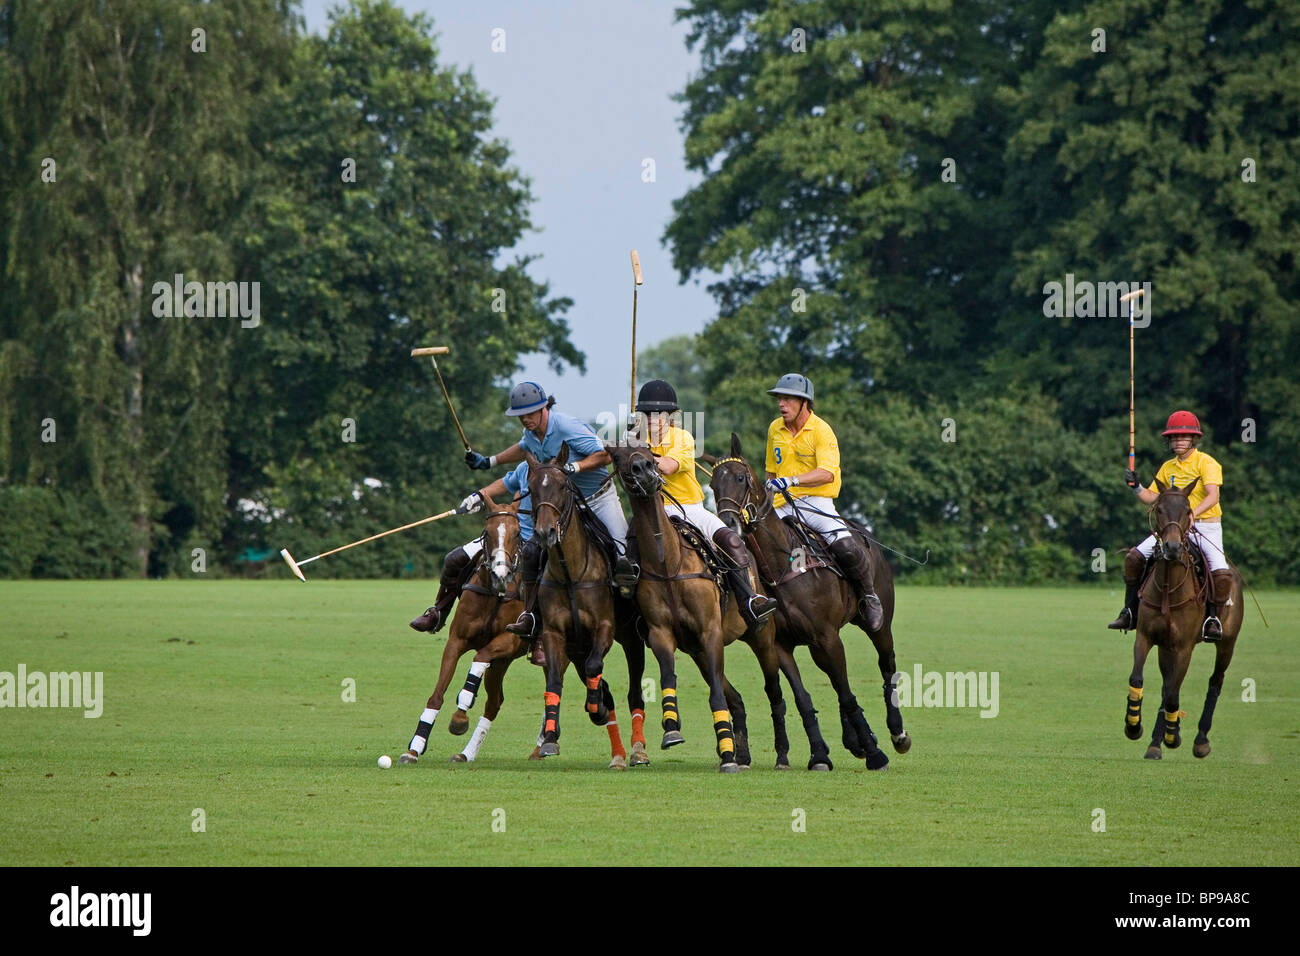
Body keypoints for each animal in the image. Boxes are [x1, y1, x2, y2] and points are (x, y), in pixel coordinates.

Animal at [400, 504, 533, 764]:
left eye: (517, 534)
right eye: (488, 532)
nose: (501, 576)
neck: (495, 594)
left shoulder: (511, 640)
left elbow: (479, 658)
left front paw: (460, 715)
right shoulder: (456, 641)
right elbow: (437, 694)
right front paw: (414, 748)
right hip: (501, 663)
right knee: (494, 702)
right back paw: (466, 754)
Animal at [525, 447, 650, 770]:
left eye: (562, 486)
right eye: (531, 488)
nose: (544, 533)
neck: (570, 572)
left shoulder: (603, 628)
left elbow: (597, 669)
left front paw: (596, 707)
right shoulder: (556, 634)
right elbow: (555, 681)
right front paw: (550, 739)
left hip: (631, 639)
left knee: (634, 694)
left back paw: (637, 750)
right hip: (576, 648)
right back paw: (617, 751)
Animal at [605, 437, 790, 775]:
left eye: (649, 455)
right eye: (619, 457)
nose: (646, 471)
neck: (668, 562)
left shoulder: (710, 631)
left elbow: (716, 694)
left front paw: (727, 756)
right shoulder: (662, 633)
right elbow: (668, 675)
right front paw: (672, 729)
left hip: (762, 637)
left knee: (774, 692)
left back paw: (780, 755)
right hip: (698, 652)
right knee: (736, 698)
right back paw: (741, 754)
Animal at [712, 434, 904, 770]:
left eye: (740, 478)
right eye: (712, 484)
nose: (728, 522)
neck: (781, 567)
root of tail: (861, 531)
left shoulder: (825, 636)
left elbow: (846, 693)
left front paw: (874, 753)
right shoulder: (782, 644)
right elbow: (805, 697)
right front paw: (820, 755)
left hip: (877, 624)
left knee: (886, 666)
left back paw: (896, 733)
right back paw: (854, 740)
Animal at [1123, 481, 1242, 759]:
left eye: (1188, 510)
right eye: (1159, 509)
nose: (1173, 547)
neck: (1168, 587)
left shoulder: (1184, 647)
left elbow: (1173, 693)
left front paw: (1173, 735)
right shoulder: (1146, 636)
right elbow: (1138, 678)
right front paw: (1134, 726)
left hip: (1227, 643)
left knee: (1214, 682)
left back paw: (1200, 740)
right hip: (1165, 647)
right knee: (1168, 686)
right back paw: (1156, 743)